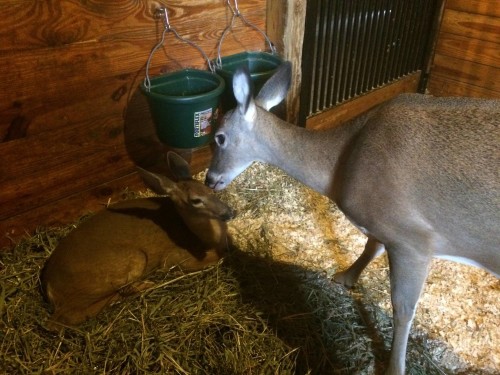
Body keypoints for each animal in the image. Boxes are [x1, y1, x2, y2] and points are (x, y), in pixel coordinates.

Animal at [41, 151, 234, 330]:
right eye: (195, 200)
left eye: (210, 190)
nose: (230, 212)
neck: (206, 239)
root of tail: (50, 287)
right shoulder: (172, 258)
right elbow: (217, 257)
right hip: (131, 260)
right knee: (62, 319)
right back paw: (145, 286)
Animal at [205, 62, 498, 375]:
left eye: (219, 137)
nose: (210, 179)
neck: (341, 167)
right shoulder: (384, 224)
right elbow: (372, 245)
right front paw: (346, 276)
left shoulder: (412, 237)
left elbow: (403, 308)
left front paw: (394, 367)